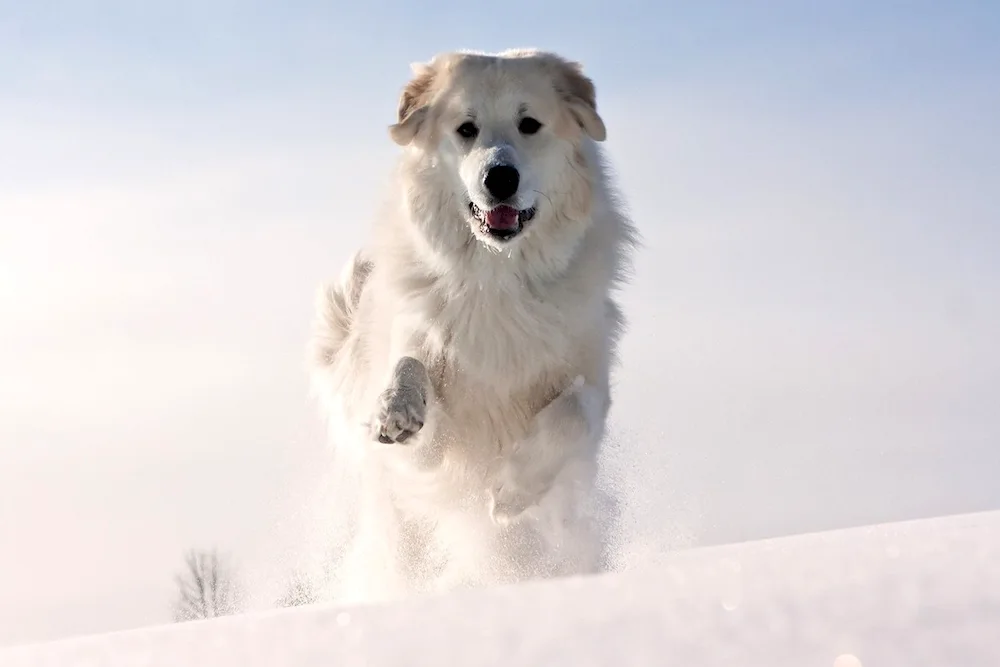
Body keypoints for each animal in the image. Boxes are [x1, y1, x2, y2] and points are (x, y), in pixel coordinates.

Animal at [312, 47, 636, 600]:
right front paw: (397, 410)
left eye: (530, 124)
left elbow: (575, 411)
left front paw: (511, 491)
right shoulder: (430, 448)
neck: (496, 279)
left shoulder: (591, 377)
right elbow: (412, 364)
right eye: (466, 129)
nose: (499, 177)